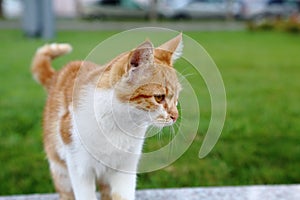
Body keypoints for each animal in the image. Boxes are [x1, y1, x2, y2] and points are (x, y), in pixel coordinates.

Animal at [32, 33, 183, 199]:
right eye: (159, 97)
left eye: (176, 98)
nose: (175, 116)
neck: (120, 125)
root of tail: (58, 74)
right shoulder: (79, 168)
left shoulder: (126, 167)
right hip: (61, 171)